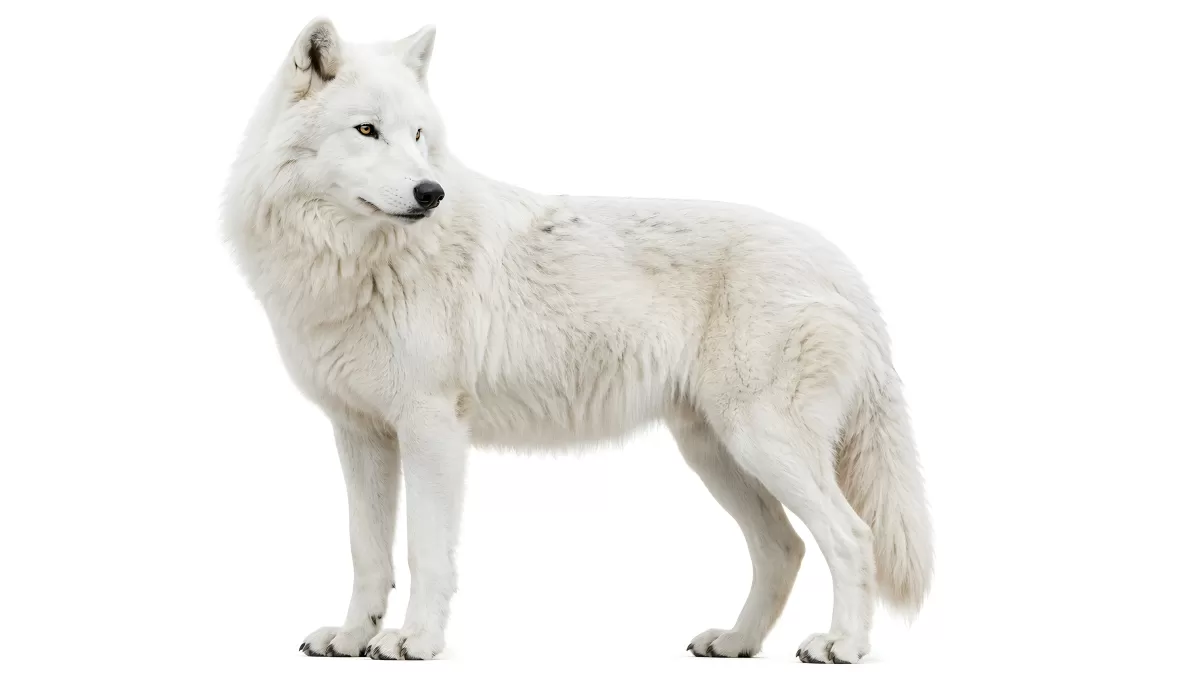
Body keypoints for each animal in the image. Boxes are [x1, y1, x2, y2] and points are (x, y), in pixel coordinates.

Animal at [223, 17, 933, 663]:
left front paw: (414, 641)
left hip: (762, 443)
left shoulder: (431, 428)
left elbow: (425, 552)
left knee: (851, 537)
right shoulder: (360, 432)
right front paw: (351, 638)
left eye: (420, 136)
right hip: (717, 453)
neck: (353, 262)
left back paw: (843, 646)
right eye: (367, 130)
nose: (431, 192)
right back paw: (737, 642)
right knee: (784, 548)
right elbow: (367, 551)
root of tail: (839, 262)